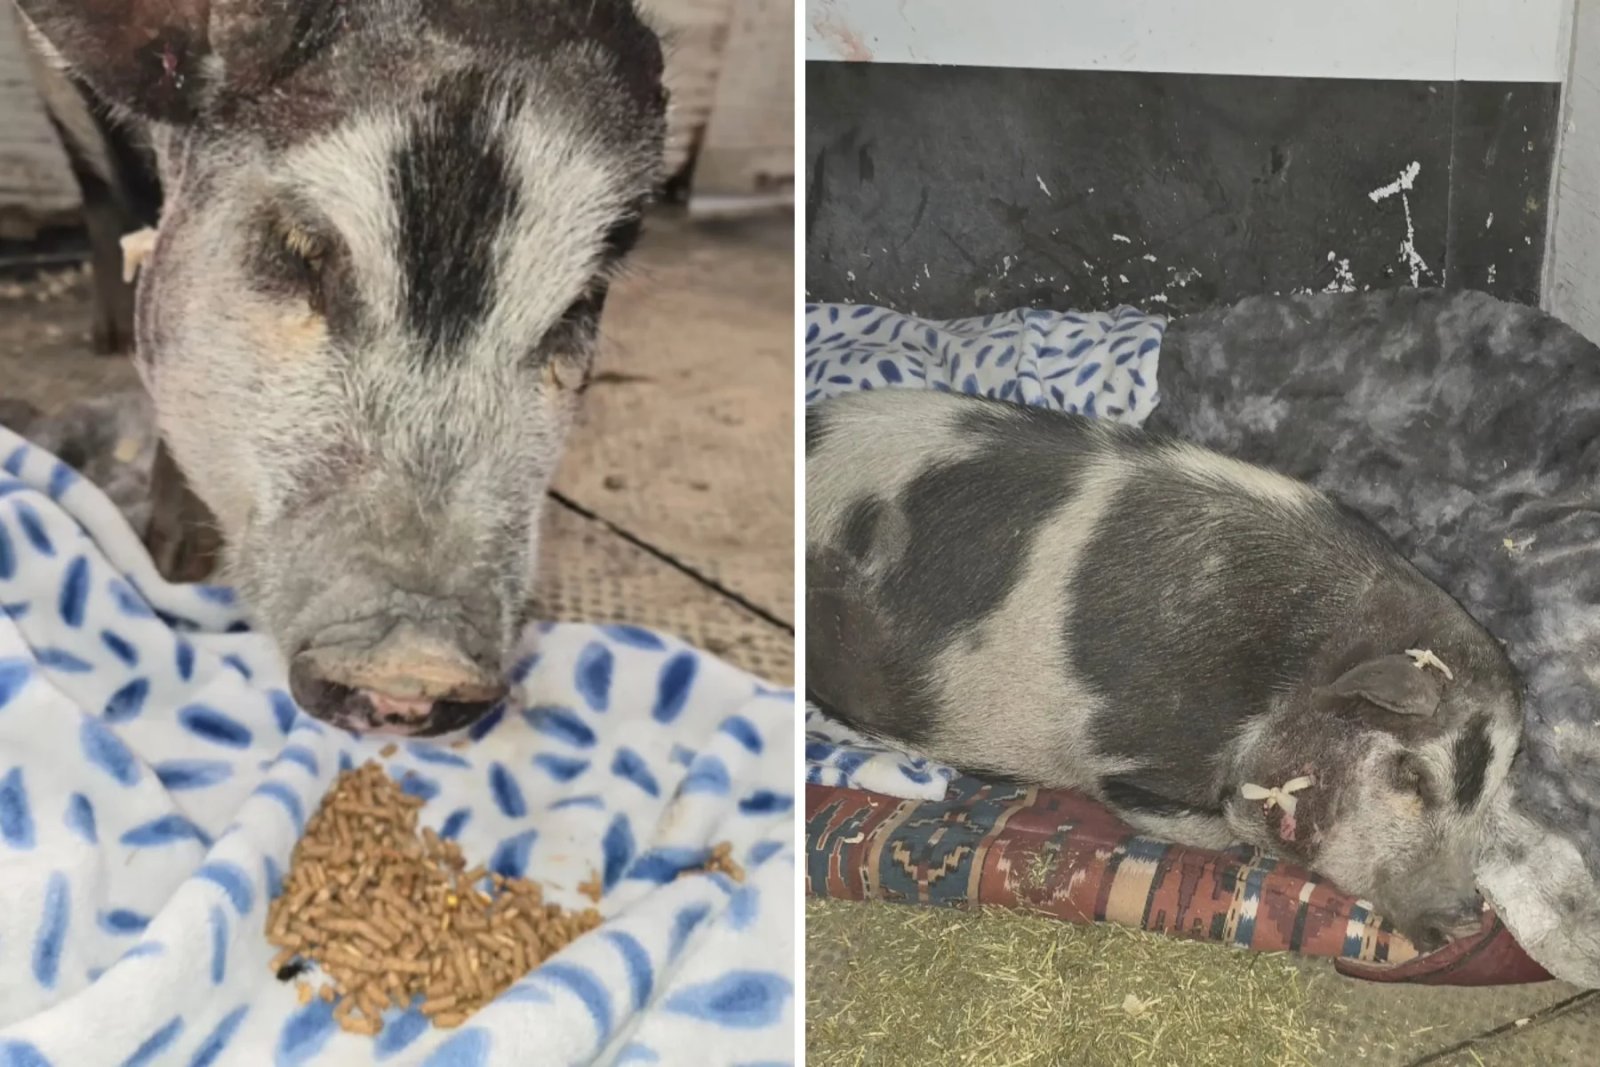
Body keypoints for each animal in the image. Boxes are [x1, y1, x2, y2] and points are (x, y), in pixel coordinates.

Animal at [806, 389, 1524, 949]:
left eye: (1488, 800)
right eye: (1412, 774)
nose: (1466, 918)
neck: (1293, 667)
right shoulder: (1125, 756)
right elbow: (1212, 830)